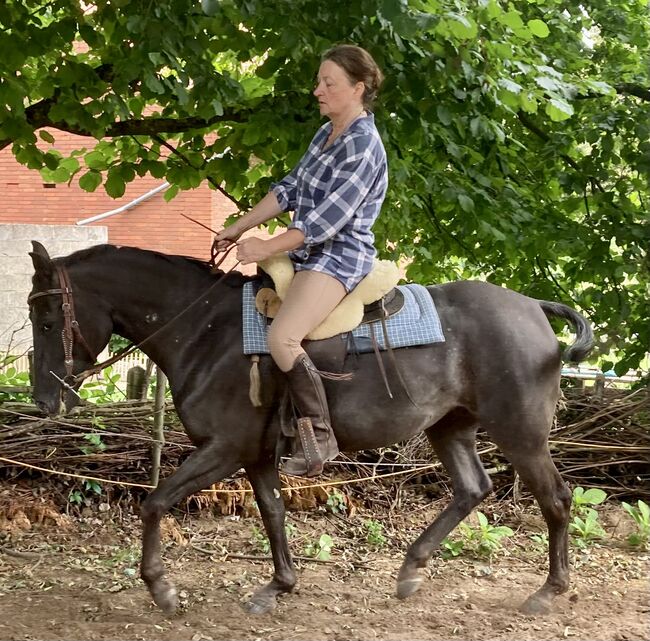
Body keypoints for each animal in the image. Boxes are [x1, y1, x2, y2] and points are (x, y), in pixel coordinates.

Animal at [27, 239, 588, 616]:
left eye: (48, 320)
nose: (44, 399)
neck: (207, 331)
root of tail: (533, 307)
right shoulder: (255, 455)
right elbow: (273, 513)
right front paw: (279, 585)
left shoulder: (223, 449)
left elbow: (155, 502)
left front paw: (161, 588)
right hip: (450, 428)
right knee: (473, 489)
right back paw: (411, 569)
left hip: (521, 434)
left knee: (556, 500)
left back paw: (548, 591)